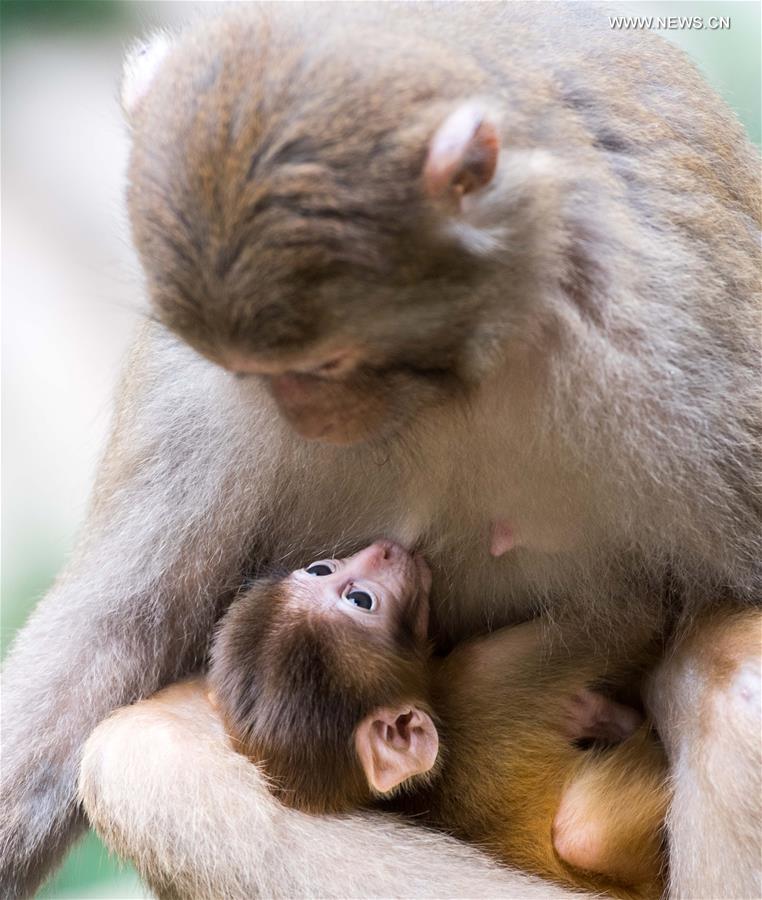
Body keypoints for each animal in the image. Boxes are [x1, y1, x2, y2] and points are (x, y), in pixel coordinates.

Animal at [206, 540, 669, 899]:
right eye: (360, 601)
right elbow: (634, 617)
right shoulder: (480, 674)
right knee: (581, 837)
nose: (384, 548)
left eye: (319, 569)